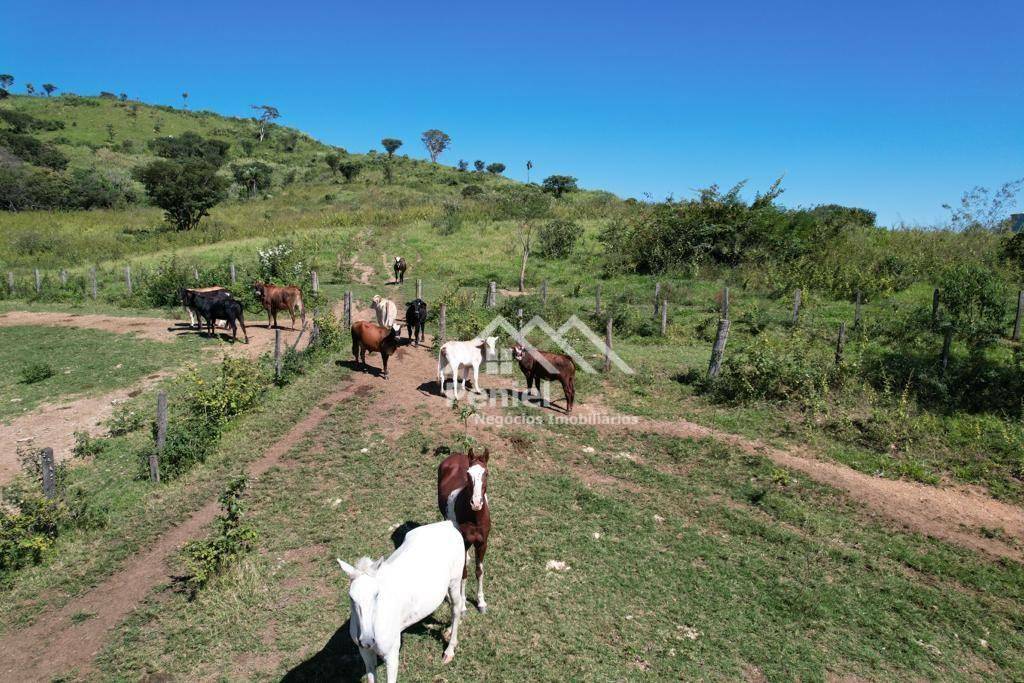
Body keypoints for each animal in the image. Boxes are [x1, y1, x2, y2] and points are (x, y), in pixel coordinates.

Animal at [337, 520, 466, 679]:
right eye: (351, 597)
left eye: (377, 594)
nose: (367, 640)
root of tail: (447, 524)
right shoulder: (366, 653)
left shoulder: (392, 655)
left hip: (455, 580)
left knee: (456, 607)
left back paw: (449, 650)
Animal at [436, 448, 491, 614]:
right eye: (468, 473)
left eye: (486, 473)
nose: (476, 503)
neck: (474, 517)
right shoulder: (465, 542)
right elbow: (464, 573)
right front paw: (463, 605)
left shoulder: (482, 543)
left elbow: (479, 571)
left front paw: (481, 603)